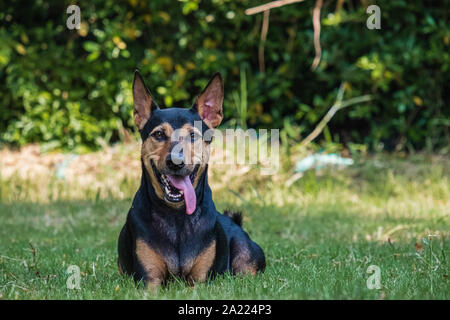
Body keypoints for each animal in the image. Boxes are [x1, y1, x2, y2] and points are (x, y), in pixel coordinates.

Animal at [118, 70, 266, 288]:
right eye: (159, 134)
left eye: (193, 136)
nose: (176, 162)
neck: (176, 215)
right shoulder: (149, 279)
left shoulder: (201, 280)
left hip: (246, 257)